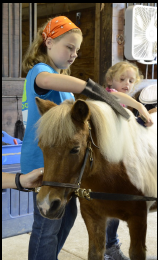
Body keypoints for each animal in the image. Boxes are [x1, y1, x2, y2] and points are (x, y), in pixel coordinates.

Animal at [34, 97, 157, 260]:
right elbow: (95, 252)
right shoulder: (93, 217)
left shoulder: (138, 218)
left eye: (75, 149)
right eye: (41, 147)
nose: (46, 205)